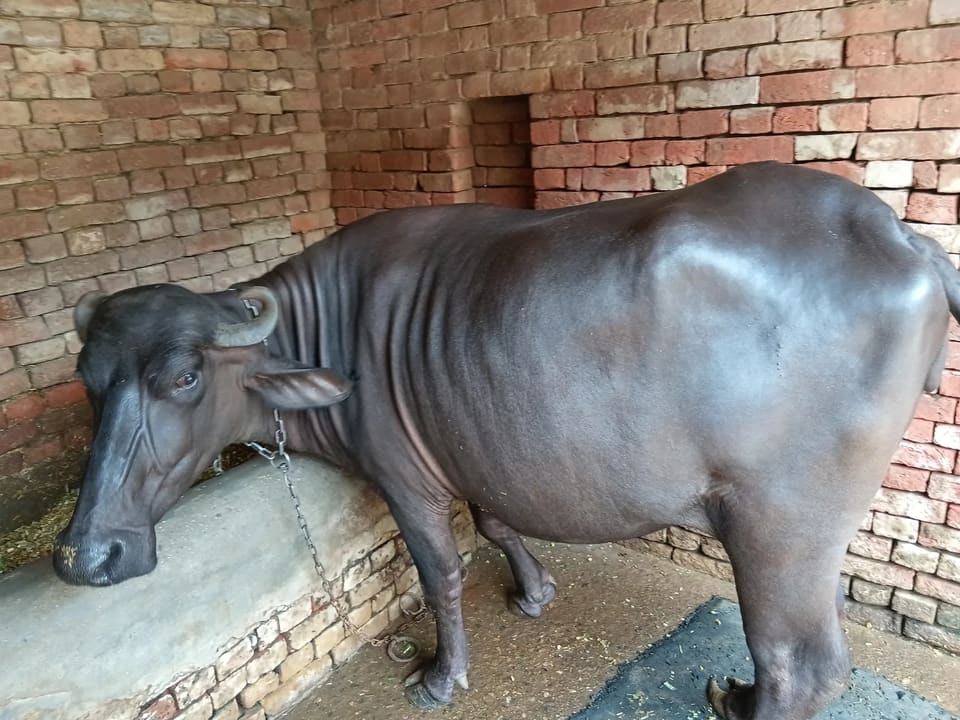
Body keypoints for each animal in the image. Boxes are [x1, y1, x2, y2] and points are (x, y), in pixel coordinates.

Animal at [53, 162, 957, 720]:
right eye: (90, 377)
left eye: (182, 377)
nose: (85, 556)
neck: (331, 335)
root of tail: (902, 237)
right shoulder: (474, 449)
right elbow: (494, 521)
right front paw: (534, 590)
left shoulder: (404, 478)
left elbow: (440, 570)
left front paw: (440, 676)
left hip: (777, 528)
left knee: (798, 665)